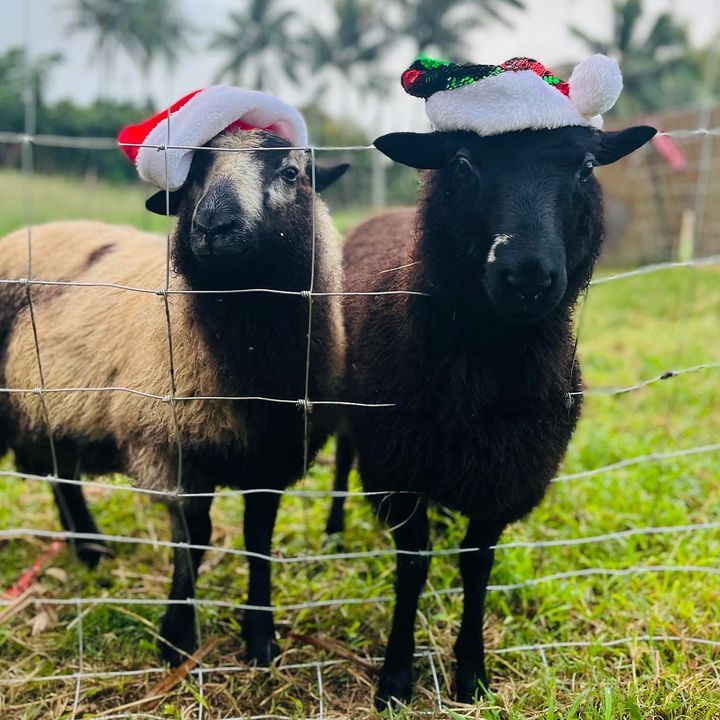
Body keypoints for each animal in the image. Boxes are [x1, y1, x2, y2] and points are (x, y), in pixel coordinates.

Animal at [0, 128, 349, 667]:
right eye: (192, 175)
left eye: (290, 172)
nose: (212, 225)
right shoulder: (164, 447)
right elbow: (193, 540)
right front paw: (176, 638)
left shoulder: (273, 456)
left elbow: (258, 539)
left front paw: (260, 638)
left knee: (61, 477)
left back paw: (91, 550)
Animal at [330, 124, 656, 707]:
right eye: (463, 163)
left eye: (586, 167)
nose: (527, 276)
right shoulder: (397, 470)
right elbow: (412, 566)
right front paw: (395, 677)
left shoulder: (507, 477)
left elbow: (476, 564)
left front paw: (470, 673)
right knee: (344, 458)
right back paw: (333, 531)